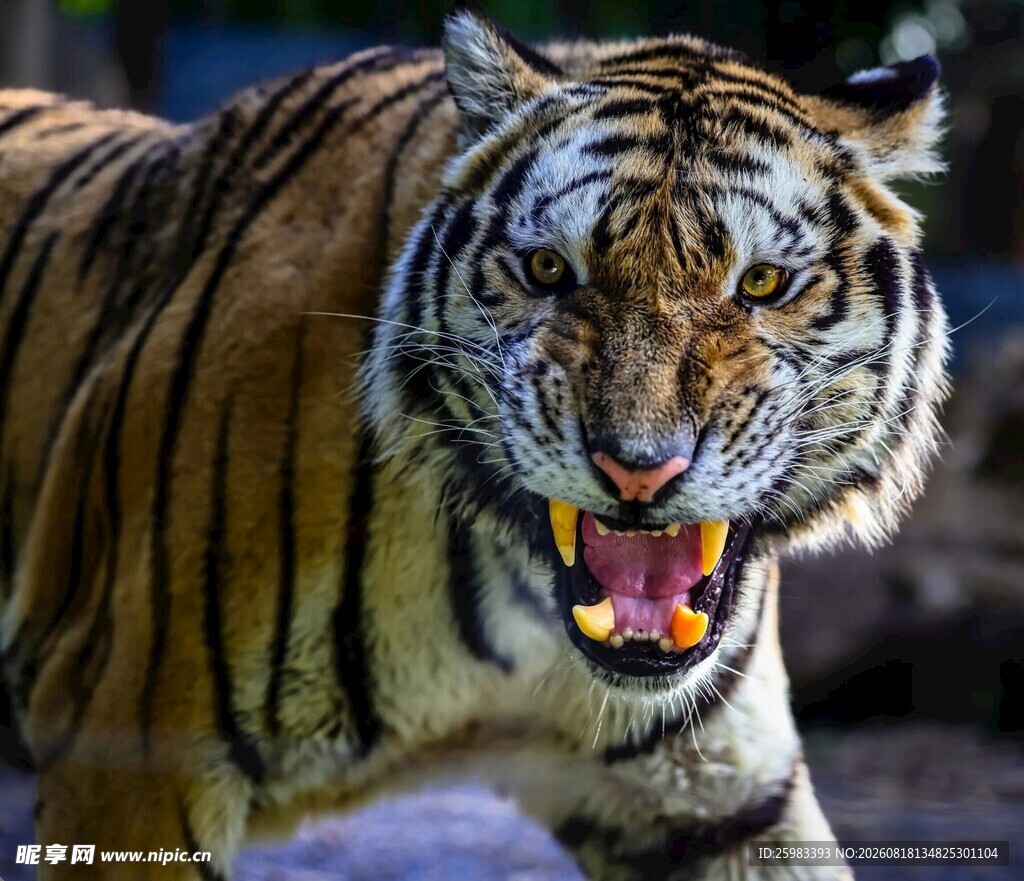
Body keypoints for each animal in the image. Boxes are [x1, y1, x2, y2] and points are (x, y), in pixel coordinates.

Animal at [0, 3, 948, 879]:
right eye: (548, 270)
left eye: (761, 283)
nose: (639, 468)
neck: (524, 603)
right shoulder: (129, 741)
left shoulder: (727, 799)